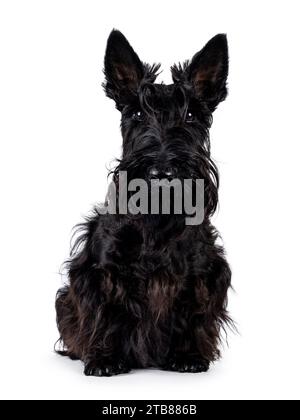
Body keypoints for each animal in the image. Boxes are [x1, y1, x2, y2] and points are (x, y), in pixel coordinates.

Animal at [55, 30, 232, 378]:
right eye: (137, 113)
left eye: (191, 115)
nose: (161, 171)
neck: (158, 218)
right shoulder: (101, 270)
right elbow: (106, 310)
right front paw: (105, 359)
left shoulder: (203, 272)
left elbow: (194, 310)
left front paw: (188, 355)